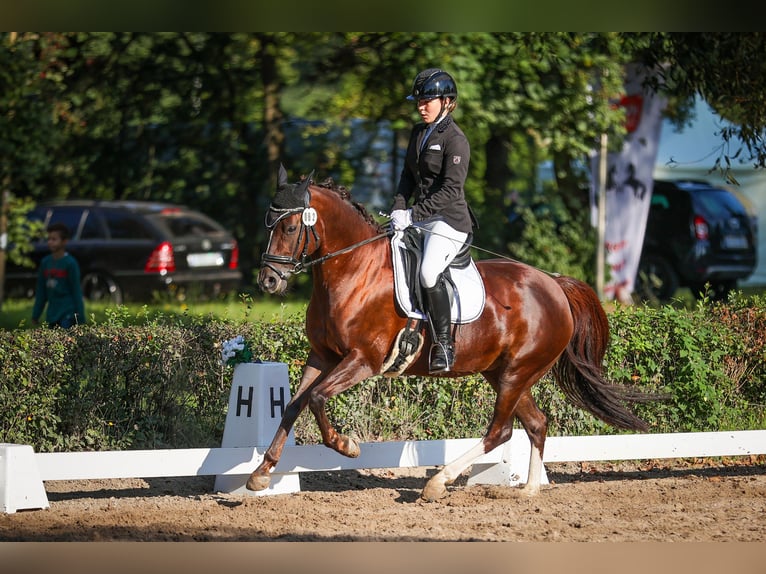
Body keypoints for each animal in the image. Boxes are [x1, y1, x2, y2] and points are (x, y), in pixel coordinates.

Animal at [250, 168, 656, 504]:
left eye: (289, 228)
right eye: (268, 224)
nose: (268, 280)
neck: (354, 270)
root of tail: (554, 284)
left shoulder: (363, 360)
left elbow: (317, 398)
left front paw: (346, 446)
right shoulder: (322, 356)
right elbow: (294, 404)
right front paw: (261, 473)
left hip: (517, 372)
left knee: (500, 431)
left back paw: (438, 483)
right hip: (504, 373)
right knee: (535, 424)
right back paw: (529, 490)